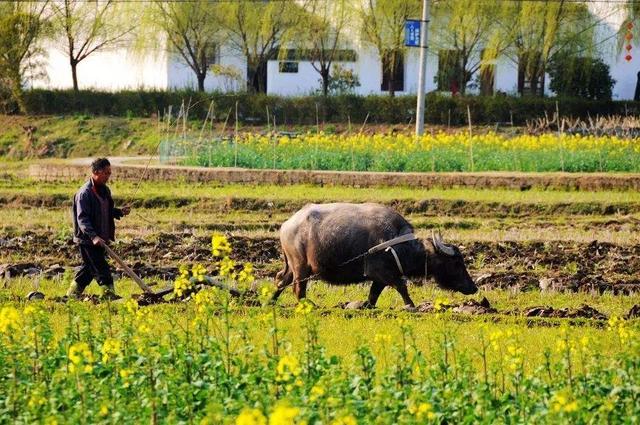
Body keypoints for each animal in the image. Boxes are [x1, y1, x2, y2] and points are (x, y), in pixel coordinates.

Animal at [272, 202, 478, 308]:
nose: (474, 288)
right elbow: (401, 286)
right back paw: (309, 305)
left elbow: (373, 295)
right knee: (298, 288)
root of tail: (286, 225)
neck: (396, 242)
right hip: (301, 266)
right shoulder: (380, 272)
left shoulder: (379, 278)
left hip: (292, 265)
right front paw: (411, 305)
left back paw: (271, 301)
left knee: (281, 280)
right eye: (456, 262)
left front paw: (366, 306)